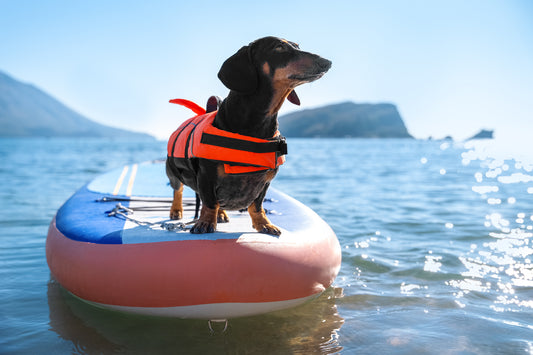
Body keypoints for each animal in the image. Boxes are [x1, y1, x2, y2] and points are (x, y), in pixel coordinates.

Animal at [167, 36, 332, 236]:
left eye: (297, 46)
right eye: (279, 47)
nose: (327, 62)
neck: (256, 123)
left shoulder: (265, 181)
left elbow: (257, 205)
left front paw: (263, 224)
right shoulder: (207, 176)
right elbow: (210, 202)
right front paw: (205, 222)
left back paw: (221, 214)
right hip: (173, 172)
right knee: (178, 190)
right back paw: (177, 210)